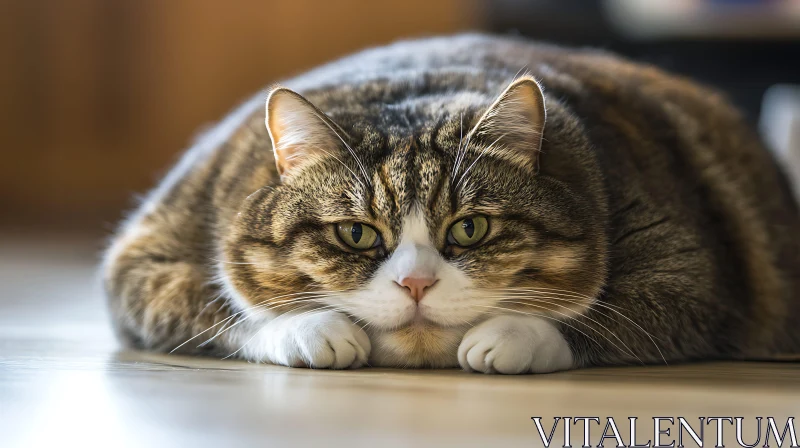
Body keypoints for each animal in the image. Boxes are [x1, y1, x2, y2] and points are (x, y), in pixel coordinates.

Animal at [101, 33, 800, 372]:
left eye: (470, 229)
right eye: (357, 234)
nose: (415, 284)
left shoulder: (693, 269)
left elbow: (612, 318)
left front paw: (510, 338)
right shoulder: (147, 253)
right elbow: (224, 310)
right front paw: (314, 329)